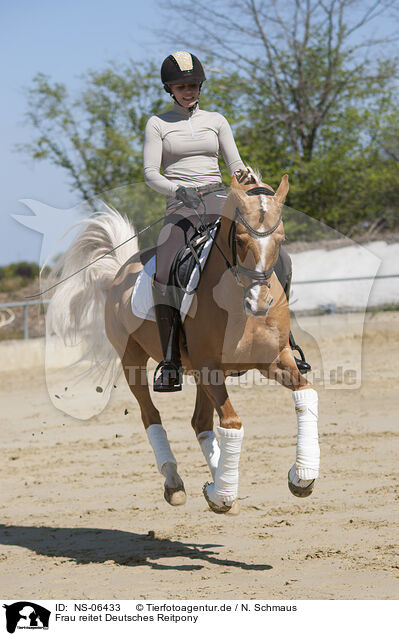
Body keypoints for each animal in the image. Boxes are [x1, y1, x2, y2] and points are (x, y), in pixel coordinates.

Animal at [47, 166, 322, 516]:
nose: (259, 303)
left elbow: (305, 393)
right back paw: (177, 484)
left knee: (200, 421)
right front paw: (223, 495)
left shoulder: (274, 360)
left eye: (281, 238)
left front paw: (302, 476)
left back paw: (218, 482)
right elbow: (232, 423)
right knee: (151, 416)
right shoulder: (209, 367)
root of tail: (121, 271)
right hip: (133, 360)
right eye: (240, 238)